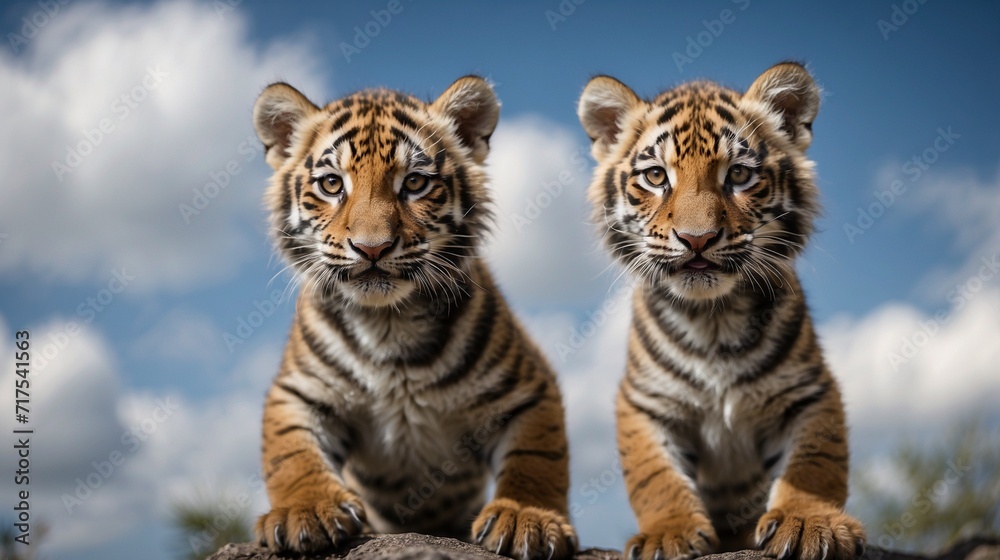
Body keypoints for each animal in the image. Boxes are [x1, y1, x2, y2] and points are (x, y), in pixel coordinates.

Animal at [250, 76, 577, 560]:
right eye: (332, 184)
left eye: (415, 183)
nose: (372, 248)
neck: (389, 322)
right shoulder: (297, 391)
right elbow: (291, 453)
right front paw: (304, 511)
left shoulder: (528, 390)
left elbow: (537, 459)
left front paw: (528, 518)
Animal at [576, 62, 866, 560]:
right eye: (656, 177)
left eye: (739, 175)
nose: (697, 239)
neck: (713, 316)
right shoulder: (645, 402)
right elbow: (654, 476)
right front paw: (669, 533)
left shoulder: (810, 391)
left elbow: (815, 463)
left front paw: (812, 523)